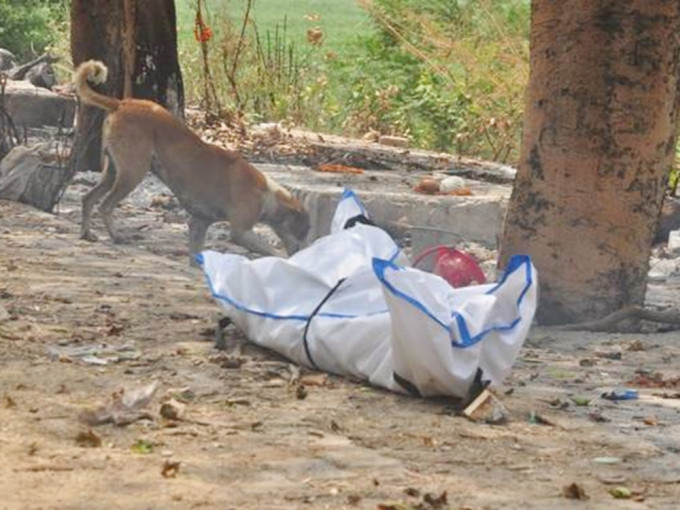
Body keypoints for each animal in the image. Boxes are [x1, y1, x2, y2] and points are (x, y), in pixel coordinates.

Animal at [72, 60, 310, 262]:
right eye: (304, 231)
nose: (305, 250)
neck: (269, 193)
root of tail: (122, 103)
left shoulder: (200, 221)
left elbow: (196, 247)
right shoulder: (241, 231)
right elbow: (271, 250)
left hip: (113, 170)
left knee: (88, 198)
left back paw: (86, 233)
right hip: (132, 172)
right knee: (105, 206)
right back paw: (116, 236)